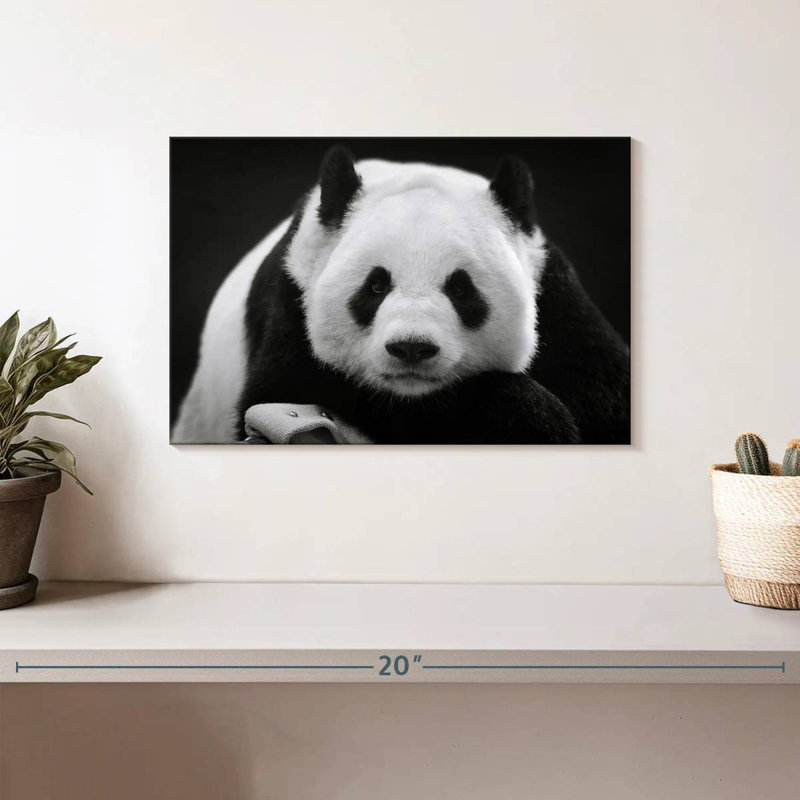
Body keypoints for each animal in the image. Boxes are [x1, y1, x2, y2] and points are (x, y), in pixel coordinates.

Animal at [172, 146, 630, 445]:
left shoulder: (555, 295)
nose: (412, 348)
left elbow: (609, 398)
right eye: (376, 286)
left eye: (461, 288)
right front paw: (534, 419)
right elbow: (286, 389)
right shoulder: (293, 296)